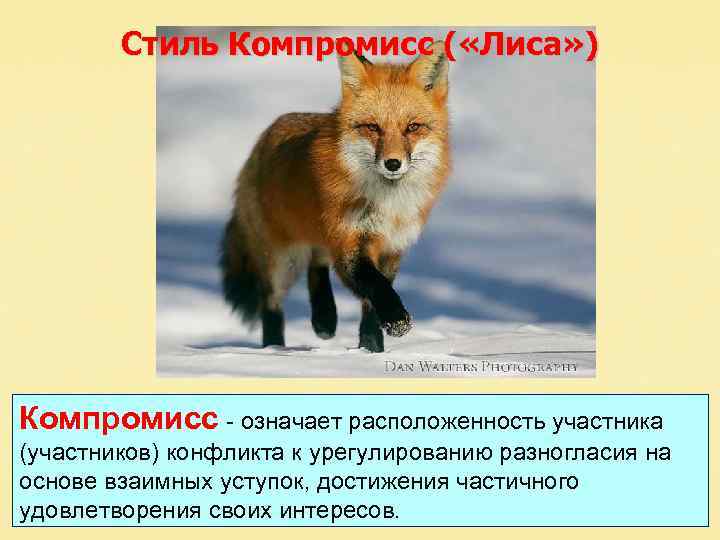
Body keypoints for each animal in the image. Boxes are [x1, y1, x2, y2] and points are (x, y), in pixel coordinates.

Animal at [219, 41, 450, 353]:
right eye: (372, 127)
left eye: (412, 127)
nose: (392, 163)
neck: (387, 204)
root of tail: (260, 142)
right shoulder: (349, 240)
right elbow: (375, 285)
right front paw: (396, 319)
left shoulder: (392, 246)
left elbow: (371, 302)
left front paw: (371, 348)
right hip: (282, 260)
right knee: (272, 303)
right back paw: (275, 349)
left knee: (316, 263)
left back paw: (324, 318)